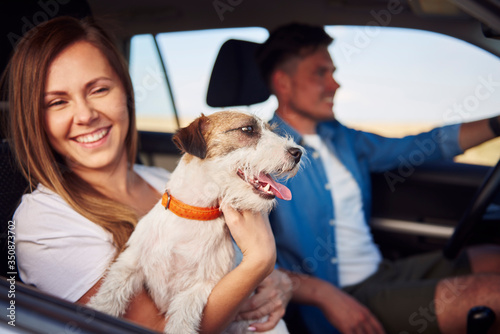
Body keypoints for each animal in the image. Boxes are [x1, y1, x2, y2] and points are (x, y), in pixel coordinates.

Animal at [88, 111, 302, 334]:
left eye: (270, 129)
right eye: (248, 129)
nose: (298, 152)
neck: (193, 215)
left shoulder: (200, 286)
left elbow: (182, 319)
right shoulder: (131, 261)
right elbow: (112, 290)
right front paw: (100, 309)